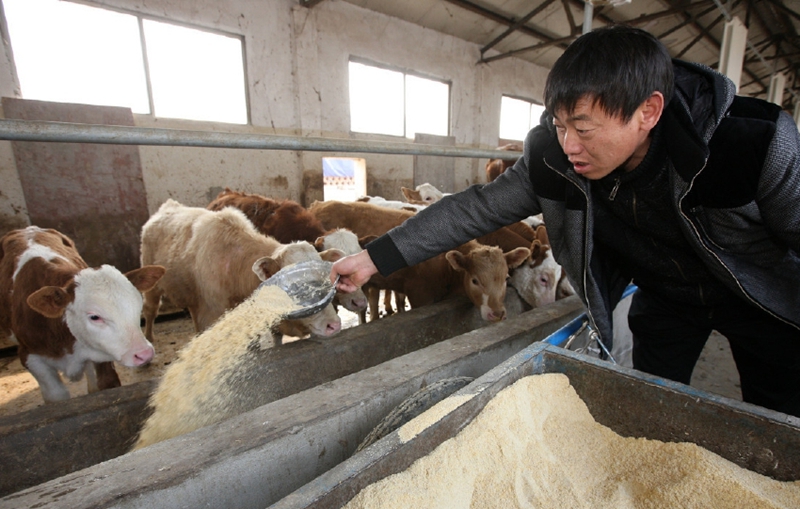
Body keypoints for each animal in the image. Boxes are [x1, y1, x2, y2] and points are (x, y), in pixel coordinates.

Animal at [0, 226, 165, 400]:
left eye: (137, 308)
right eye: (94, 317)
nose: (144, 354)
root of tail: (27, 229)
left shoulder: (99, 353)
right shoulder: (30, 356)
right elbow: (57, 396)